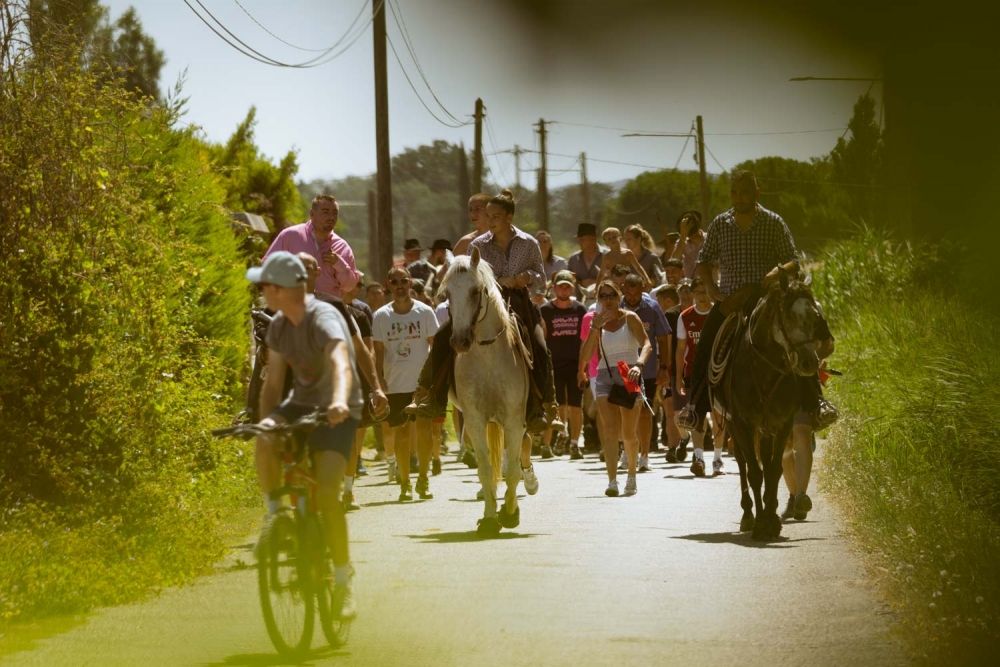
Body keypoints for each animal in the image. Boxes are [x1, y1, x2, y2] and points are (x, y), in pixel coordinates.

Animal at [440, 248, 532, 536]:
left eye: (475, 291)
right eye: (447, 294)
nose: (459, 341)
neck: (489, 356)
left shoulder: (514, 419)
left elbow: (512, 470)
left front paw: (510, 514)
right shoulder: (475, 419)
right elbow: (484, 467)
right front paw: (490, 518)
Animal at [712, 272, 820, 544]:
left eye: (815, 316)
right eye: (789, 316)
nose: (809, 362)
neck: (764, 369)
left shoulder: (782, 424)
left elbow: (773, 471)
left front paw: (772, 522)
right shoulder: (742, 424)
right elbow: (754, 473)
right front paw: (760, 524)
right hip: (734, 425)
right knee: (742, 464)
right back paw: (748, 515)